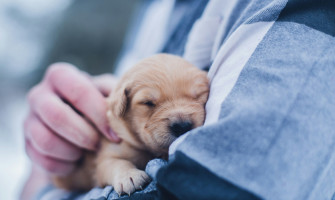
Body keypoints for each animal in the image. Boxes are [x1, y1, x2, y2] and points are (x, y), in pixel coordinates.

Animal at [52, 53, 210, 195]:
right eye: (148, 102)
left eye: (198, 96)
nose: (182, 126)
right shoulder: (106, 155)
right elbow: (116, 163)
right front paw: (129, 176)